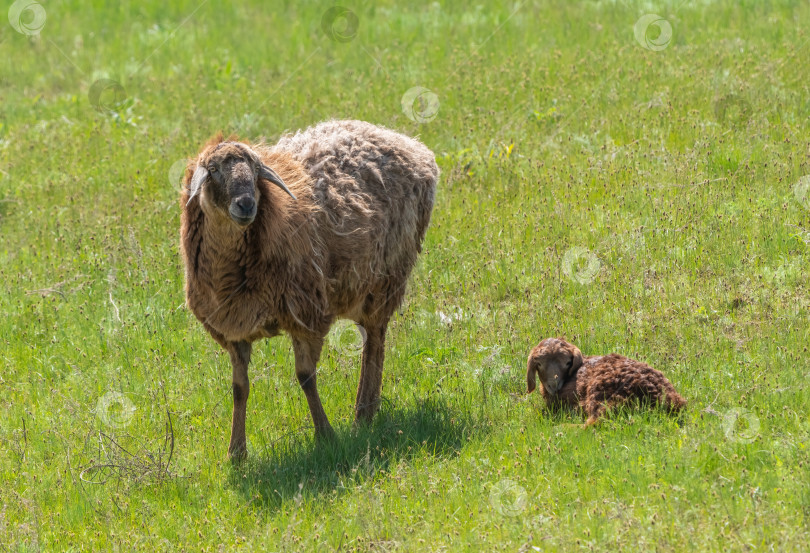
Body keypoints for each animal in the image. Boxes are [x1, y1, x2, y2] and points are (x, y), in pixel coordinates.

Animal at [181, 117, 438, 458]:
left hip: (387, 278)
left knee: (375, 342)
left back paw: (363, 415)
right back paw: (367, 410)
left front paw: (325, 436)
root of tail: (407, 142)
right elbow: (239, 389)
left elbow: (305, 377)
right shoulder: (234, 328)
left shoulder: (307, 314)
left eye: (255, 170)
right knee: (371, 338)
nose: (247, 205)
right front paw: (236, 453)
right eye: (213, 170)